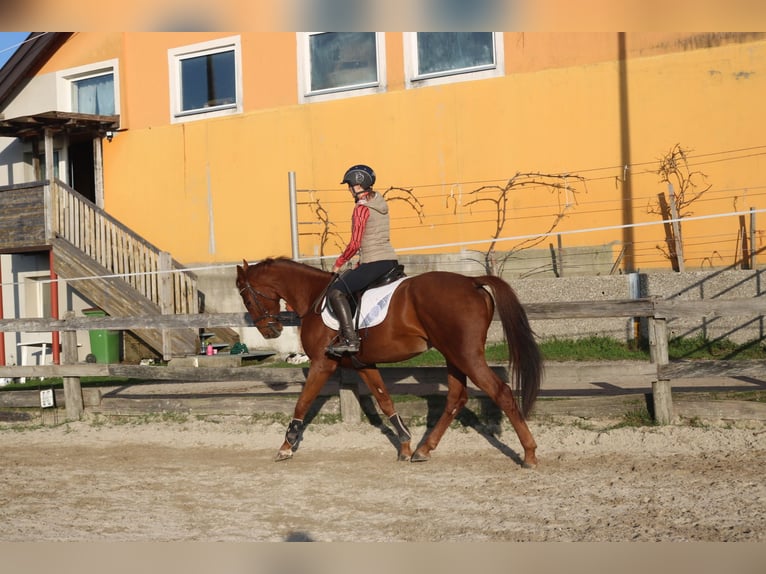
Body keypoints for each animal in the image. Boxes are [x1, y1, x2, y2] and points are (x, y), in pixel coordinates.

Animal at [237, 256, 544, 468]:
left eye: (246, 299)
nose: (270, 331)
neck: (314, 296)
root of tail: (471, 281)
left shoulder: (322, 364)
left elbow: (302, 402)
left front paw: (286, 446)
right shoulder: (363, 364)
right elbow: (385, 400)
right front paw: (405, 445)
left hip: (465, 355)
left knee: (501, 393)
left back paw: (529, 454)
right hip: (454, 355)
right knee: (456, 399)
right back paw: (423, 450)